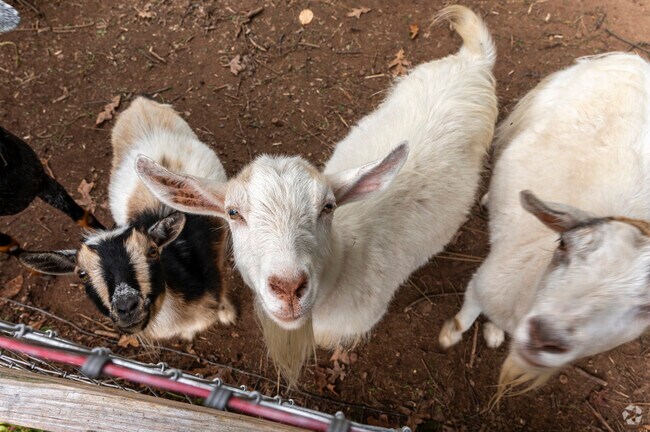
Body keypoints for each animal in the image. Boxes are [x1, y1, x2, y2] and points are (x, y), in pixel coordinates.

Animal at [439, 52, 650, 396]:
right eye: (563, 245)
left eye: (647, 308)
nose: (545, 337)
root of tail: (632, 59)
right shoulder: (481, 284)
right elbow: (465, 317)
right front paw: (450, 335)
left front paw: (493, 333)